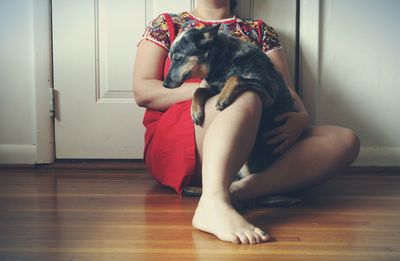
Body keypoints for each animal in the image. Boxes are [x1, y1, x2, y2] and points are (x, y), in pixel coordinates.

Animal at [162, 25, 294, 174]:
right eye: (170, 59)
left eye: (178, 58)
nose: (164, 84)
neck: (223, 62)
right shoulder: (212, 88)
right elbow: (198, 90)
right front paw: (195, 111)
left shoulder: (269, 94)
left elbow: (236, 77)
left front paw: (223, 97)